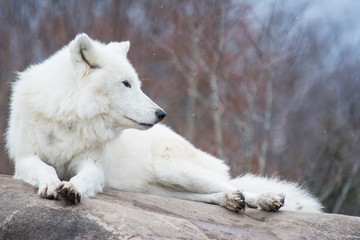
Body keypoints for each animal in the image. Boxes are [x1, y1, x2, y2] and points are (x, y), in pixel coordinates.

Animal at [6, 33, 320, 212]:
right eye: (126, 84)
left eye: (137, 83)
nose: (161, 114)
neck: (69, 117)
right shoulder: (25, 159)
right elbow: (45, 168)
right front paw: (51, 184)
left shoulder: (93, 165)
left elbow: (81, 178)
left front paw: (72, 189)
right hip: (157, 188)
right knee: (215, 193)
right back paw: (233, 201)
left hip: (176, 172)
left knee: (235, 185)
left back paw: (267, 199)